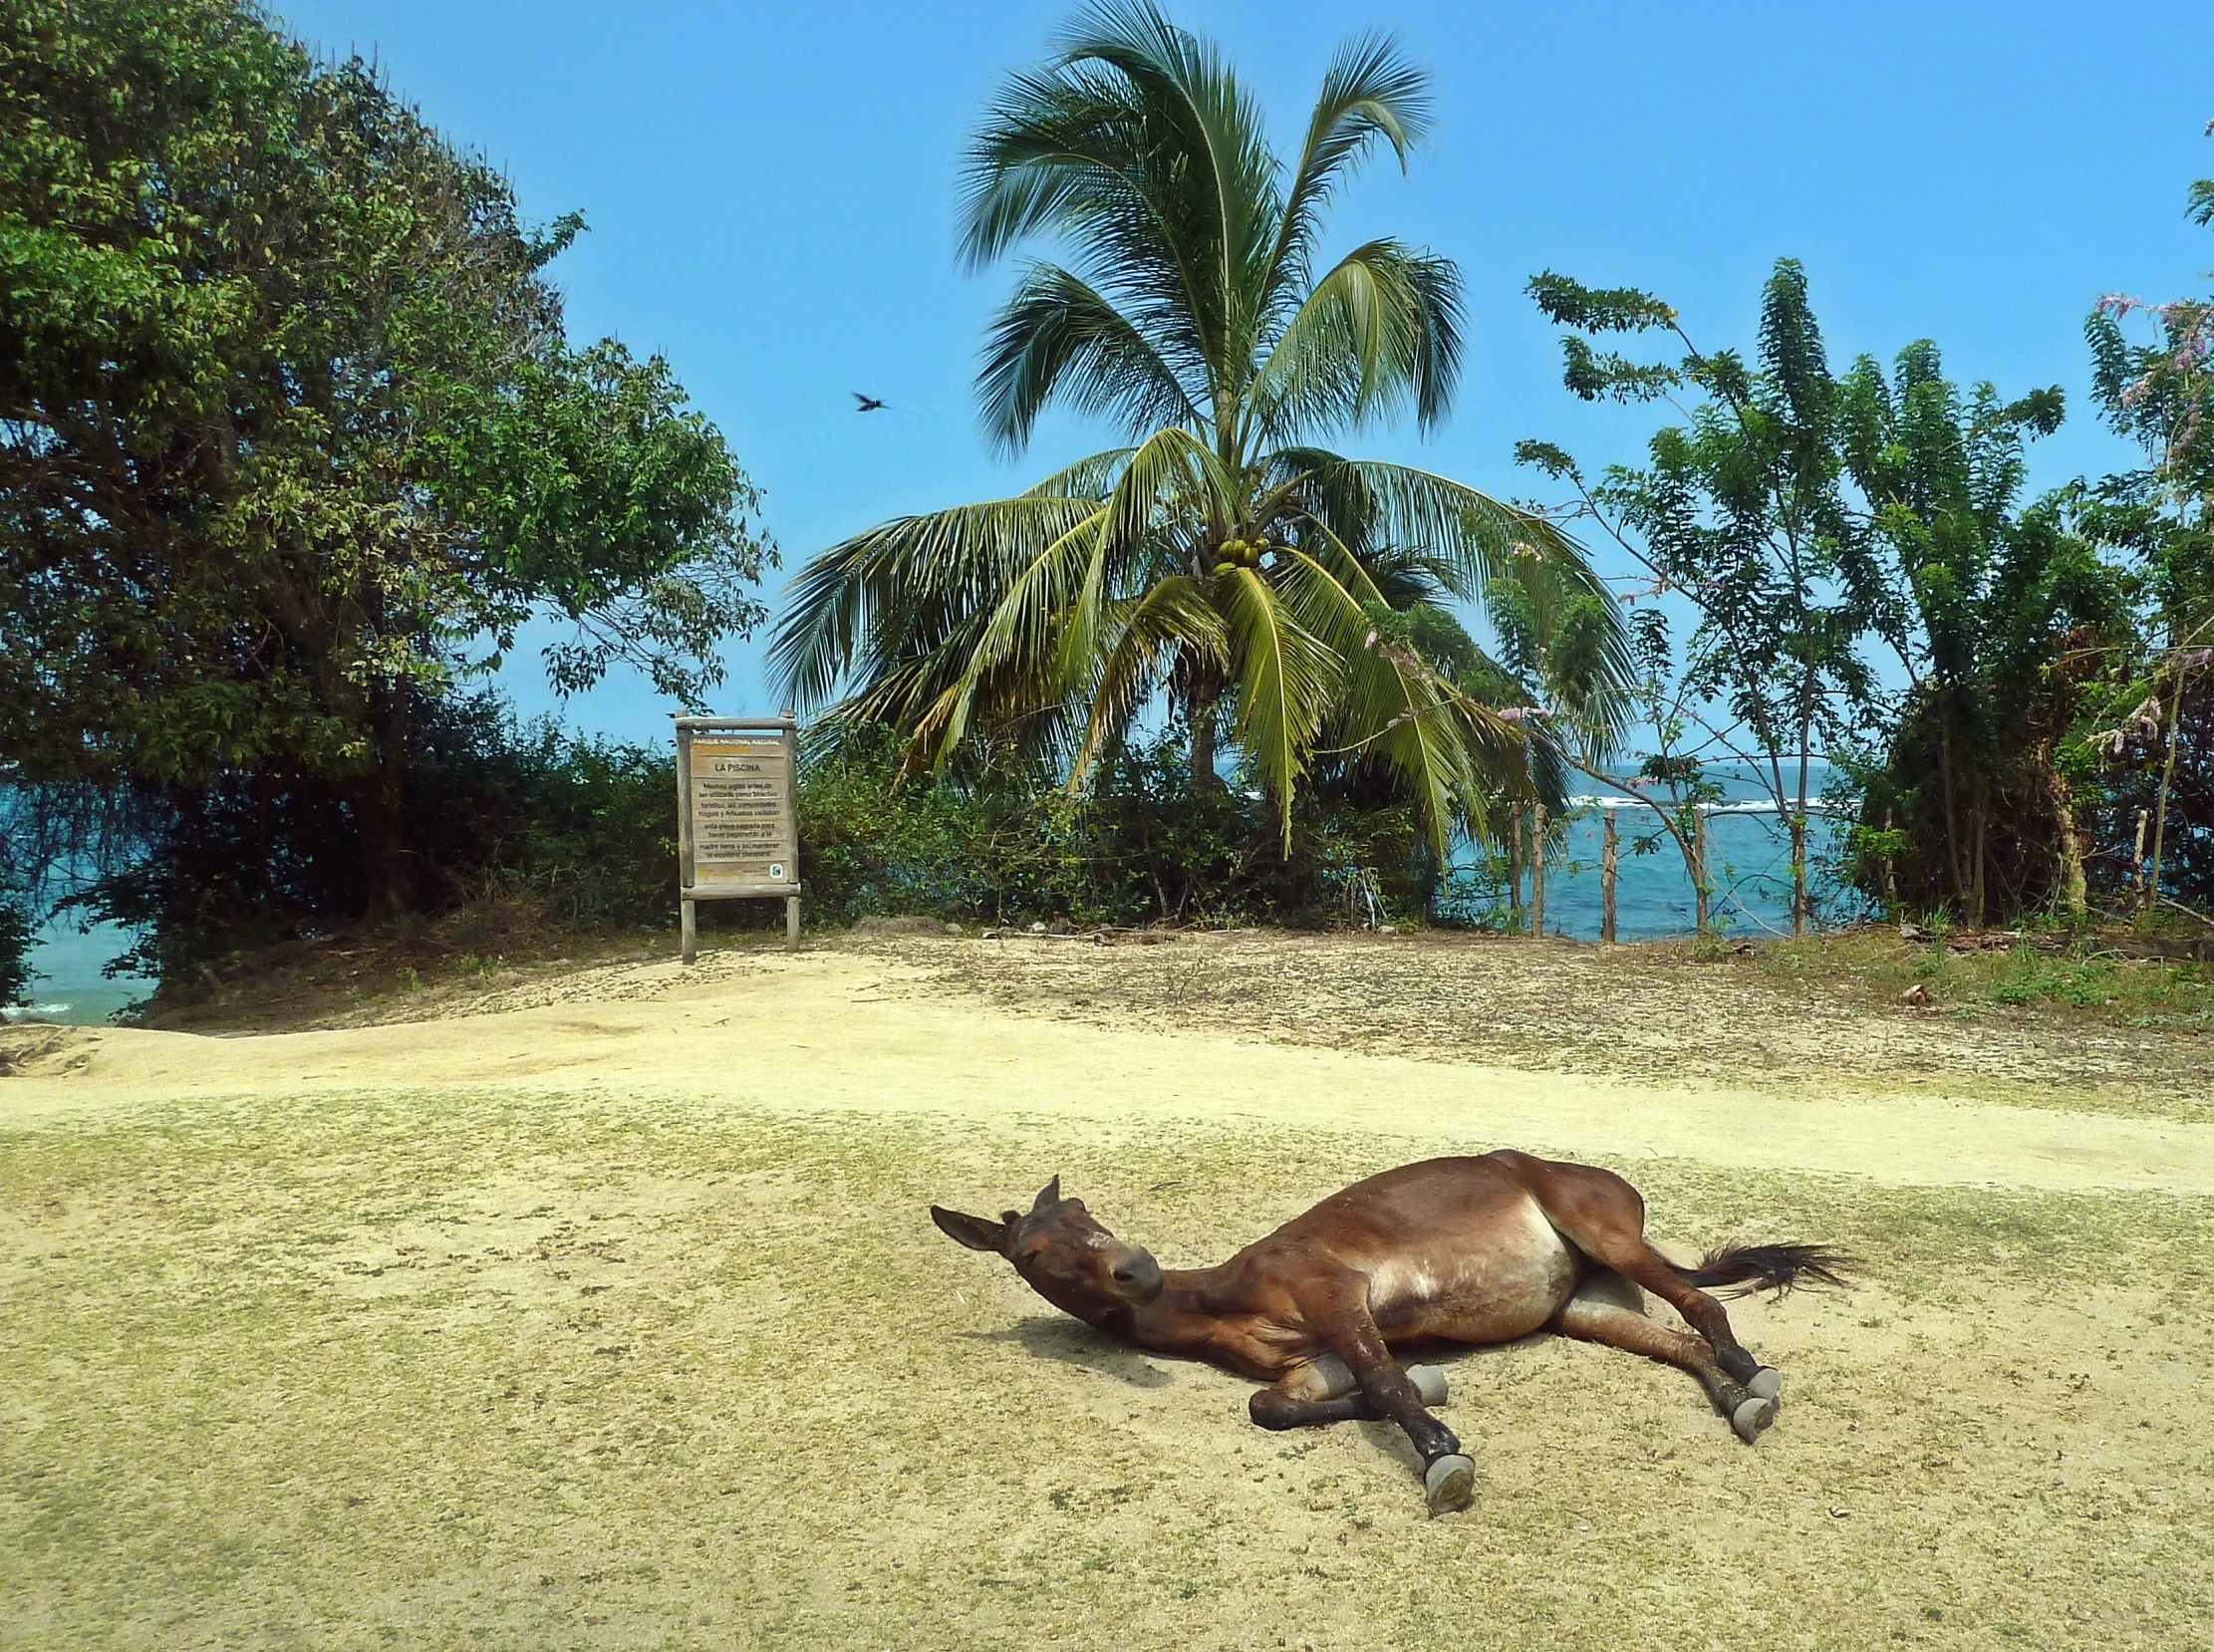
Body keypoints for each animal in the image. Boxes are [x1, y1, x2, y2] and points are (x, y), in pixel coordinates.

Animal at [934, 1151, 1850, 1514]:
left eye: (1089, 1210)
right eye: (1034, 1251)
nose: (1138, 1270)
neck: (1224, 1298)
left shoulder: (1336, 1293)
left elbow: (1384, 1381)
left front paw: (1442, 1456)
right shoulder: (1313, 1357)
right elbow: (1280, 1406)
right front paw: (1429, 1392)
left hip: (1603, 1232)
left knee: (1703, 1310)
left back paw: (1752, 1373)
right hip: (1581, 1305)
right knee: (1680, 1341)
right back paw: (1742, 1402)